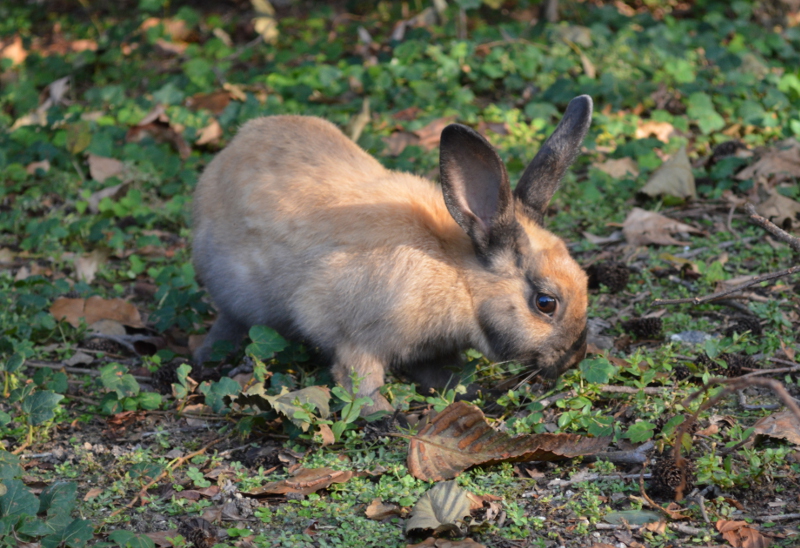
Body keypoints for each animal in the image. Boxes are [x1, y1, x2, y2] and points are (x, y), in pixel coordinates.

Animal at [192, 95, 592, 416]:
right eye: (545, 303)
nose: (573, 359)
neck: (460, 280)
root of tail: (231, 149)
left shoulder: (433, 350)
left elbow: (444, 375)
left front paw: (471, 393)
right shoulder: (353, 338)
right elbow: (357, 382)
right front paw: (384, 415)